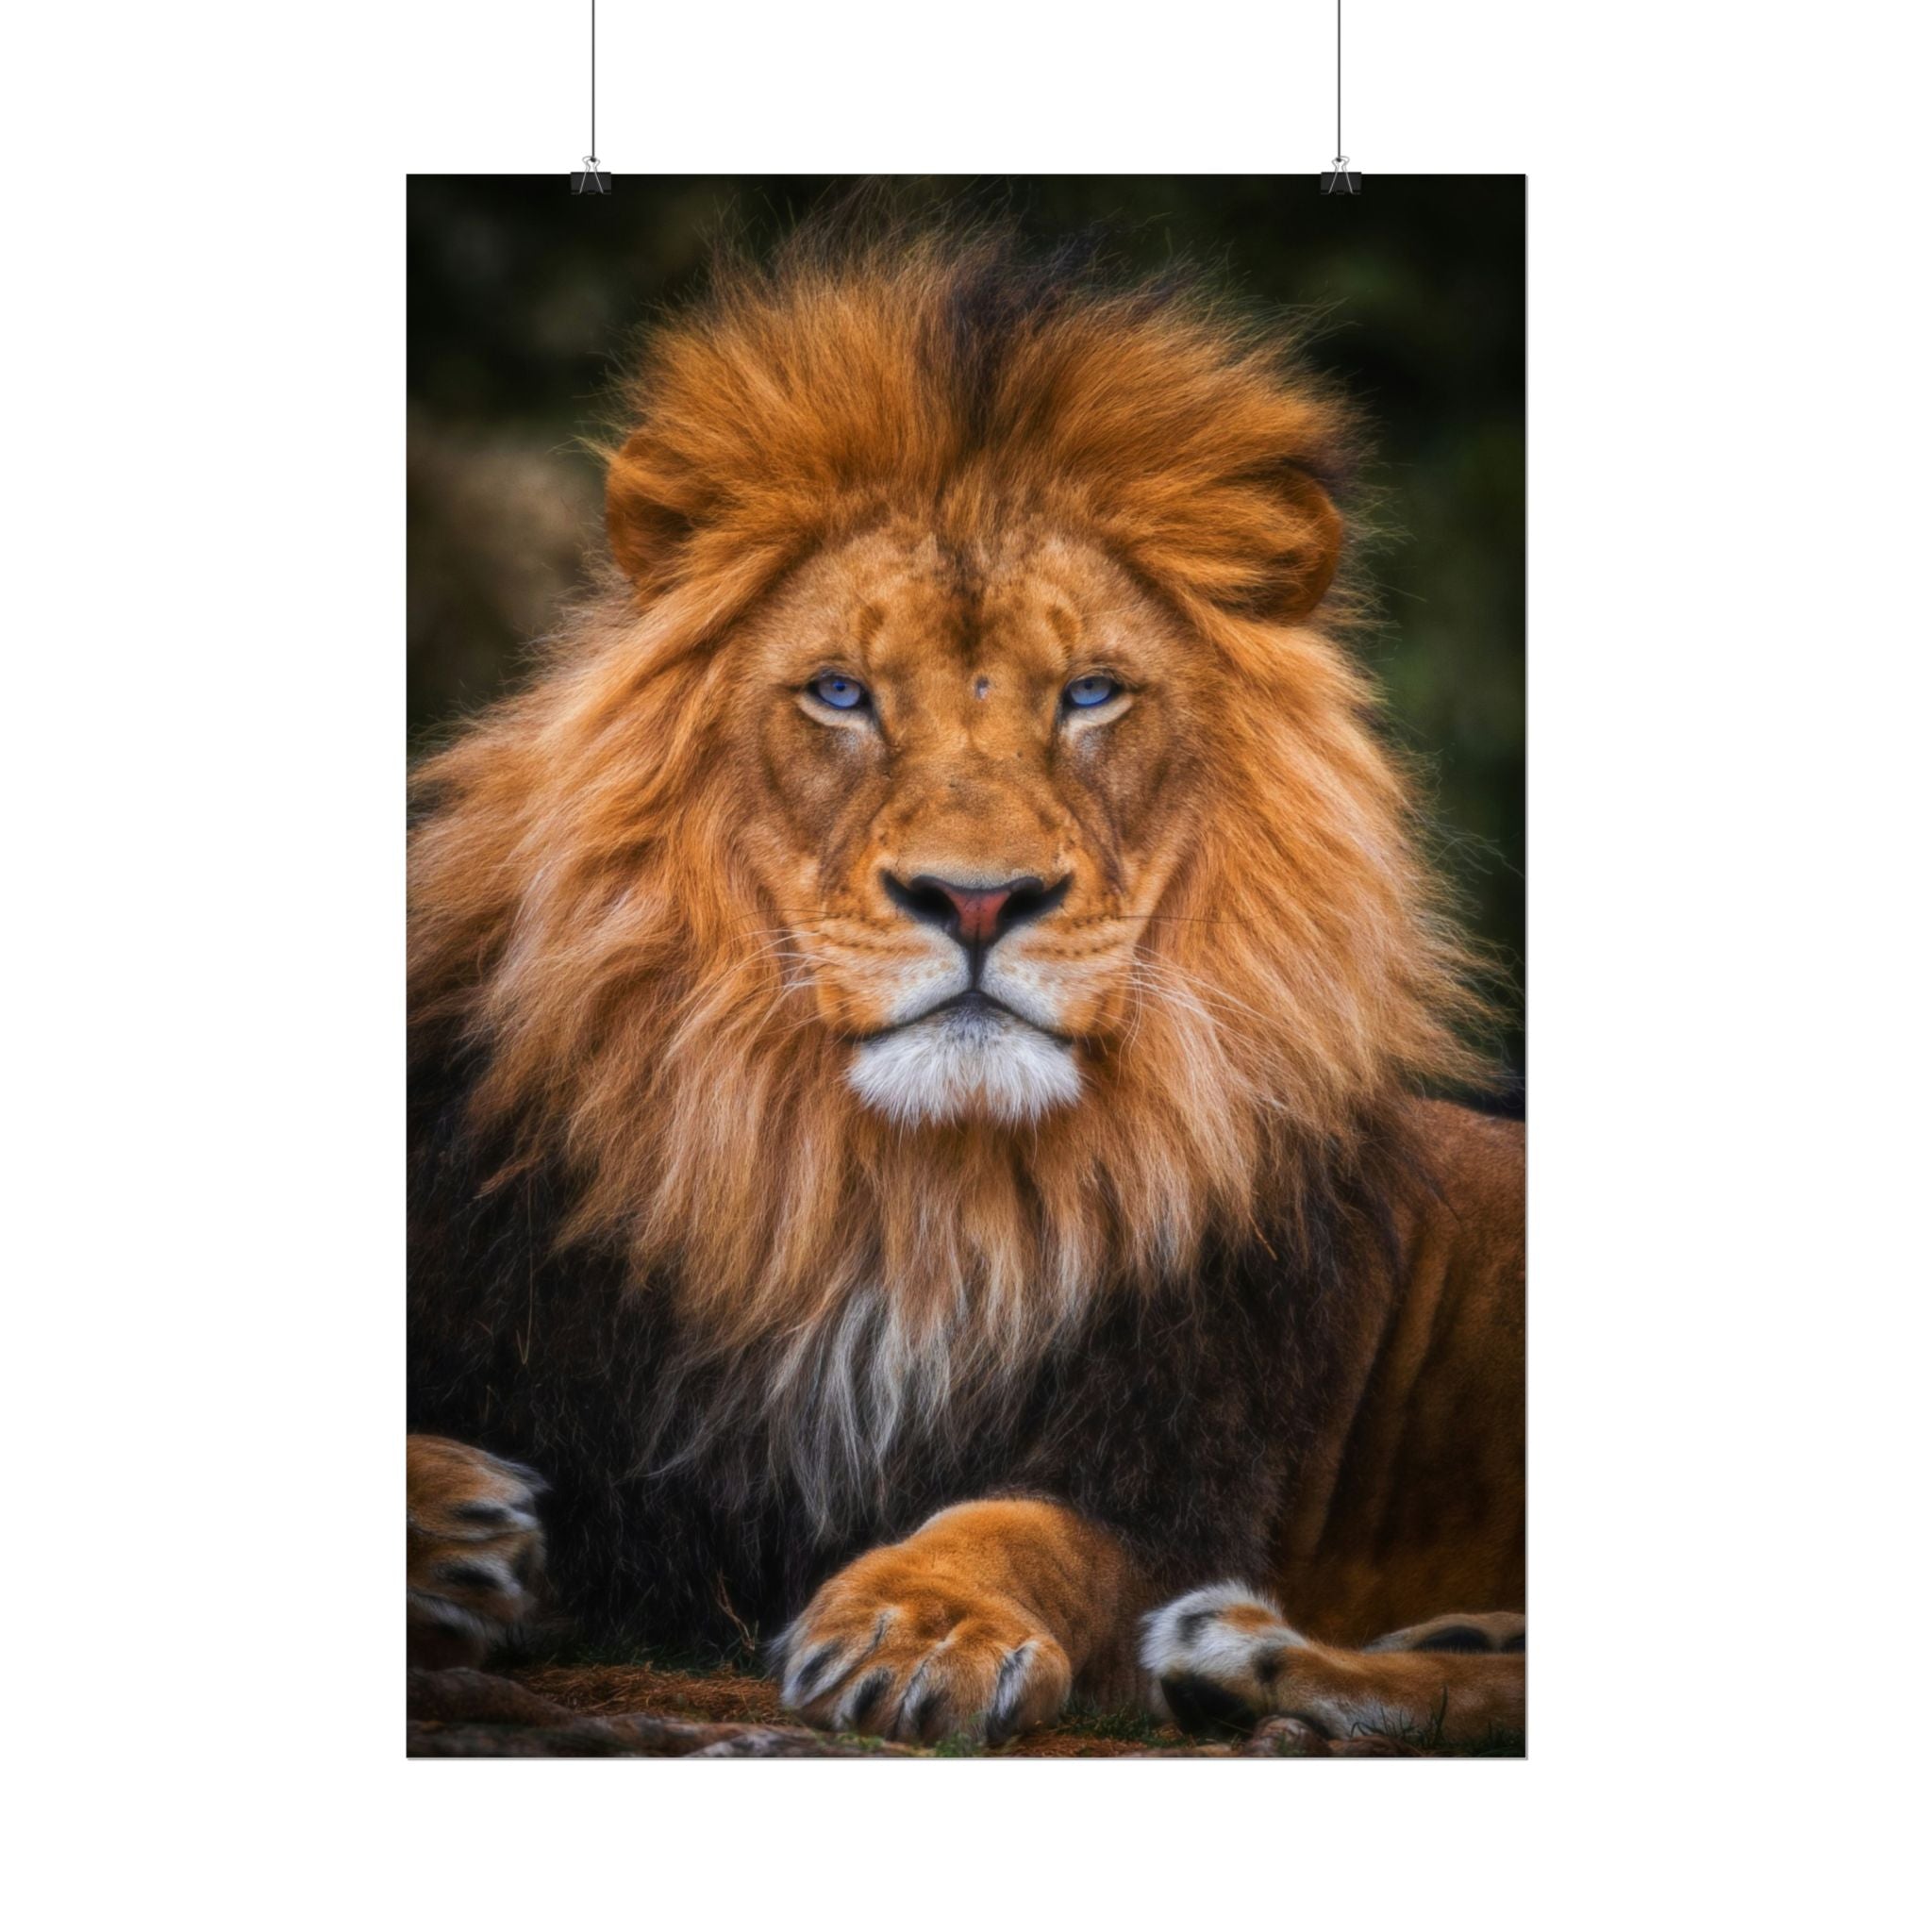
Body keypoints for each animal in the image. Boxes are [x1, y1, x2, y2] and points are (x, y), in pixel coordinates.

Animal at [406, 218, 1525, 1750]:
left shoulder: (1176, 1465)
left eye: (1091, 694)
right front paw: (452, 1523)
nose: (978, 898)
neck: (896, 1201)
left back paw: (1251, 1656)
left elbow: (1028, 1528)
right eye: (839, 693)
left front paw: (920, 1624)